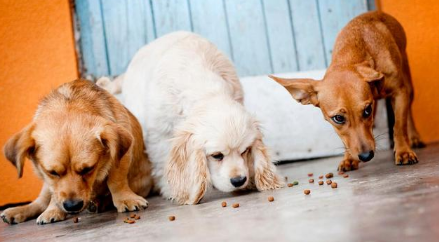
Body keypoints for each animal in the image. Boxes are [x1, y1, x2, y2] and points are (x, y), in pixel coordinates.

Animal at [0, 80, 154, 225]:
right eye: (52, 172)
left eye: (88, 169)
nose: (72, 206)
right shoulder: (48, 179)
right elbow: (54, 193)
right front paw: (53, 210)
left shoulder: (121, 158)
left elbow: (116, 180)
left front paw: (125, 199)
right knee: (40, 202)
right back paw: (18, 211)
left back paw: (101, 203)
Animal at [98, 31, 284, 203]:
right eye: (217, 155)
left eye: (245, 151)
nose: (239, 180)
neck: (206, 90)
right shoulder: (159, 134)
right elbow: (162, 160)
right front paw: (173, 190)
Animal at [270, 10, 424, 170]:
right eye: (338, 118)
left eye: (367, 110)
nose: (366, 156)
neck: (350, 56)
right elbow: (345, 139)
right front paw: (348, 158)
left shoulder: (399, 93)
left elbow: (399, 125)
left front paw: (403, 151)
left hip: (409, 87)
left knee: (408, 115)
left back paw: (414, 137)